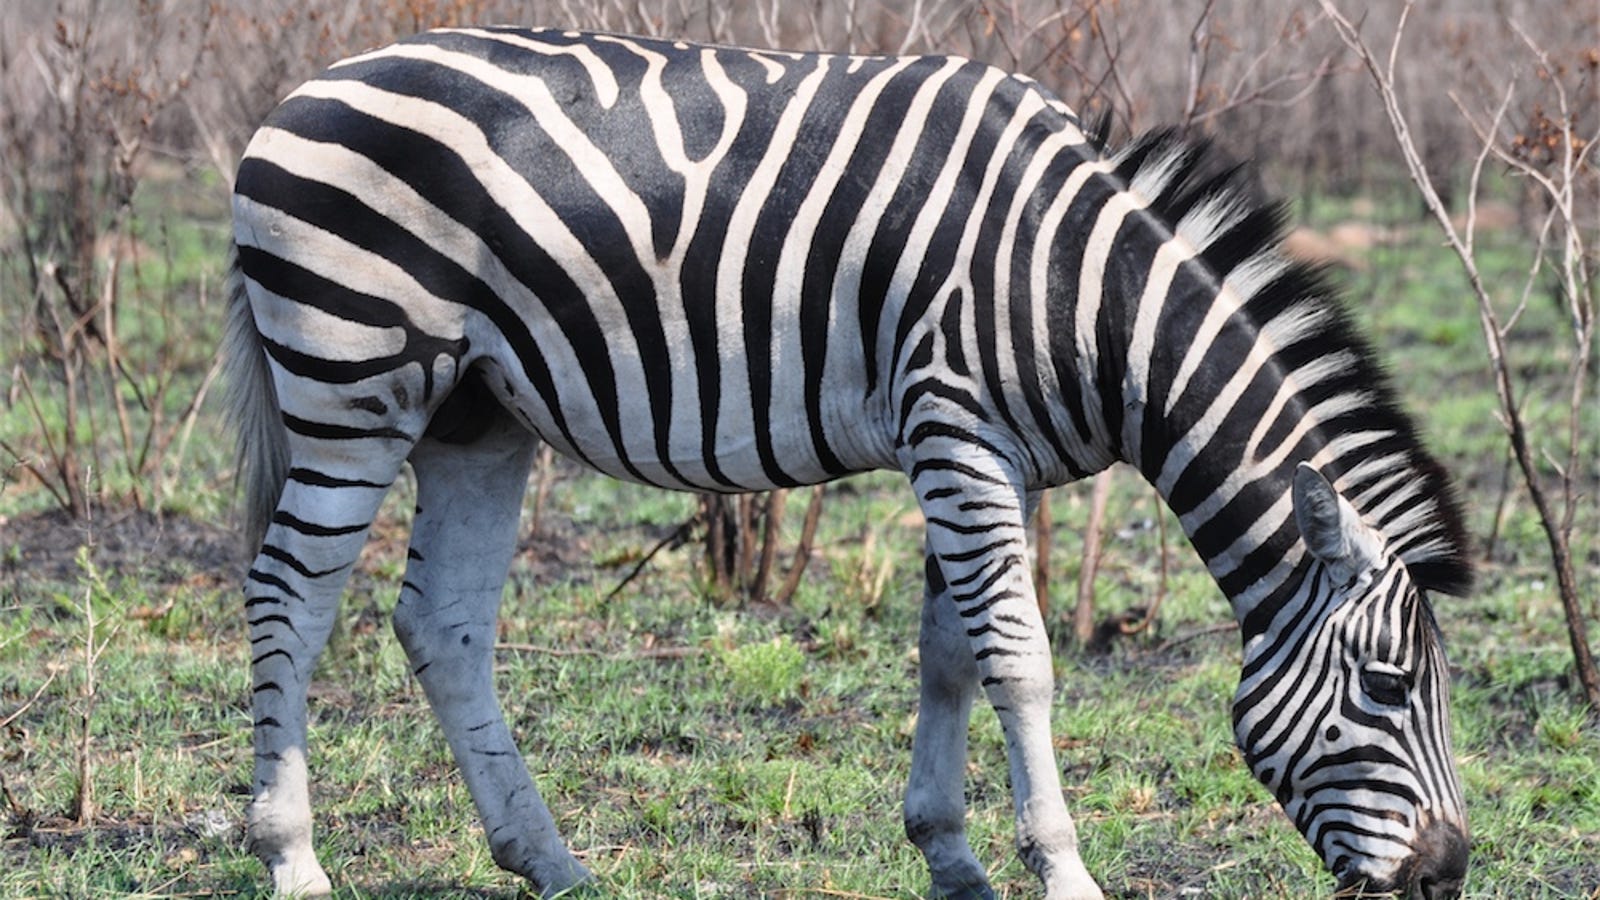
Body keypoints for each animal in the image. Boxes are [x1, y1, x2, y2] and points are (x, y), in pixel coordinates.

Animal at [225, 26, 1472, 896]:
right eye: (1388, 686)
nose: (1445, 874)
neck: (1081, 298)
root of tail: (303, 88)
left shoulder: (982, 459)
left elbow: (949, 655)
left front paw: (950, 854)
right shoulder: (956, 430)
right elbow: (1020, 663)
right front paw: (1064, 872)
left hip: (474, 415)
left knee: (441, 623)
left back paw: (551, 862)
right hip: (354, 378)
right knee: (289, 597)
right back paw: (294, 858)